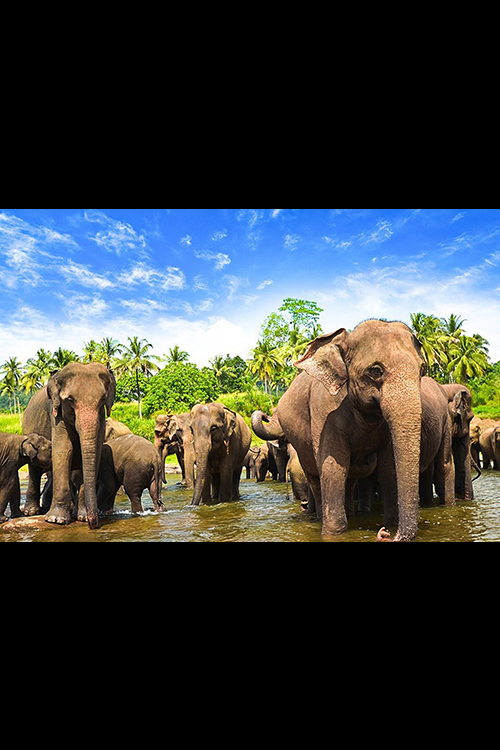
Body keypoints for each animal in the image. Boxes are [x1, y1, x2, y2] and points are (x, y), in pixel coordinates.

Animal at [22, 362, 116, 529]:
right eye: (70, 400)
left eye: (103, 399)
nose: (94, 524)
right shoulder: (56, 414)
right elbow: (64, 450)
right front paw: (56, 520)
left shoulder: (101, 418)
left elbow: (94, 452)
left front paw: (82, 517)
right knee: (34, 470)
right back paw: (31, 512)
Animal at [252, 320, 427, 542]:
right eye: (375, 371)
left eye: (422, 369)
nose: (384, 533)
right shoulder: (325, 410)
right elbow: (333, 467)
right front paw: (334, 533)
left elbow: (389, 466)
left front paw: (391, 523)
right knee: (316, 479)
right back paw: (319, 517)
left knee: (350, 479)